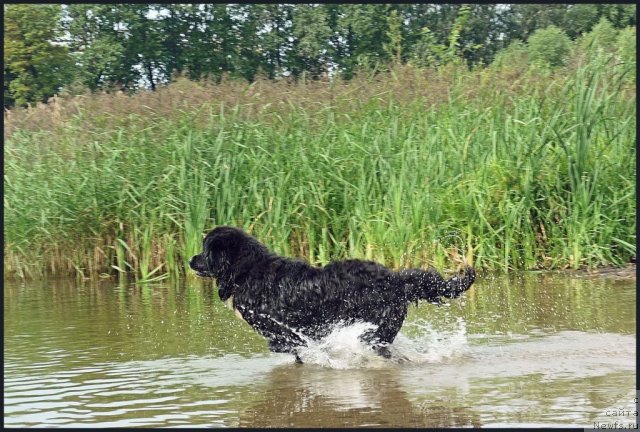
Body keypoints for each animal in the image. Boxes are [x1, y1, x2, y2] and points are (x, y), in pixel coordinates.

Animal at [190, 226, 476, 362]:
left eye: (205, 251)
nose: (191, 260)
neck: (247, 272)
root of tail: (396, 279)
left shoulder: (285, 332)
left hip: (375, 331)